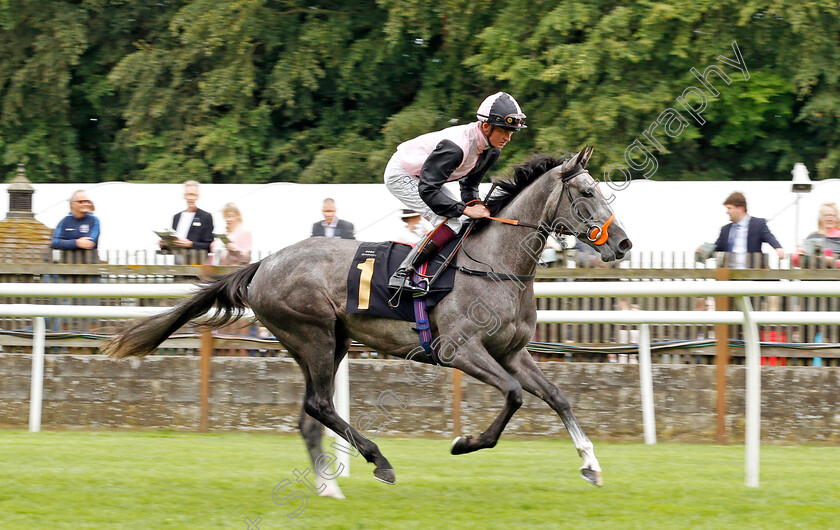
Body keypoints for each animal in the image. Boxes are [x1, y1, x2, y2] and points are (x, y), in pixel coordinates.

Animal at [101, 146, 632, 498]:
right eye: (587, 192)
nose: (623, 244)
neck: (495, 262)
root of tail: (263, 264)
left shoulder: (512, 351)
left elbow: (557, 396)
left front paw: (591, 464)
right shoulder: (461, 350)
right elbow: (516, 396)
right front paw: (464, 443)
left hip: (329, 343)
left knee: (309, 414)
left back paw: (328, 487)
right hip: (312, 335)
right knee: (318, 405)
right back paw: (379, 461)